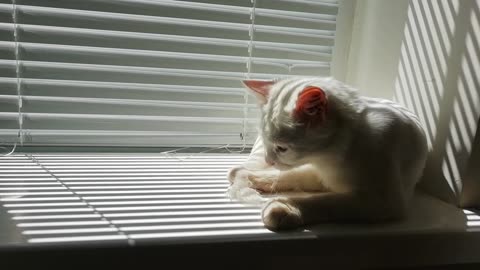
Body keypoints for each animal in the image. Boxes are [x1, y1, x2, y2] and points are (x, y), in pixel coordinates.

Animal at [228, 77, 428, 231]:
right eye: (266, 141)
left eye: (282, 148)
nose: (268, 160)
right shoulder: (319, 174)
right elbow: (288, 176)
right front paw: (251, 177)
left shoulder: (382, 200)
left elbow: (325, 202)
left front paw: (285, 206)